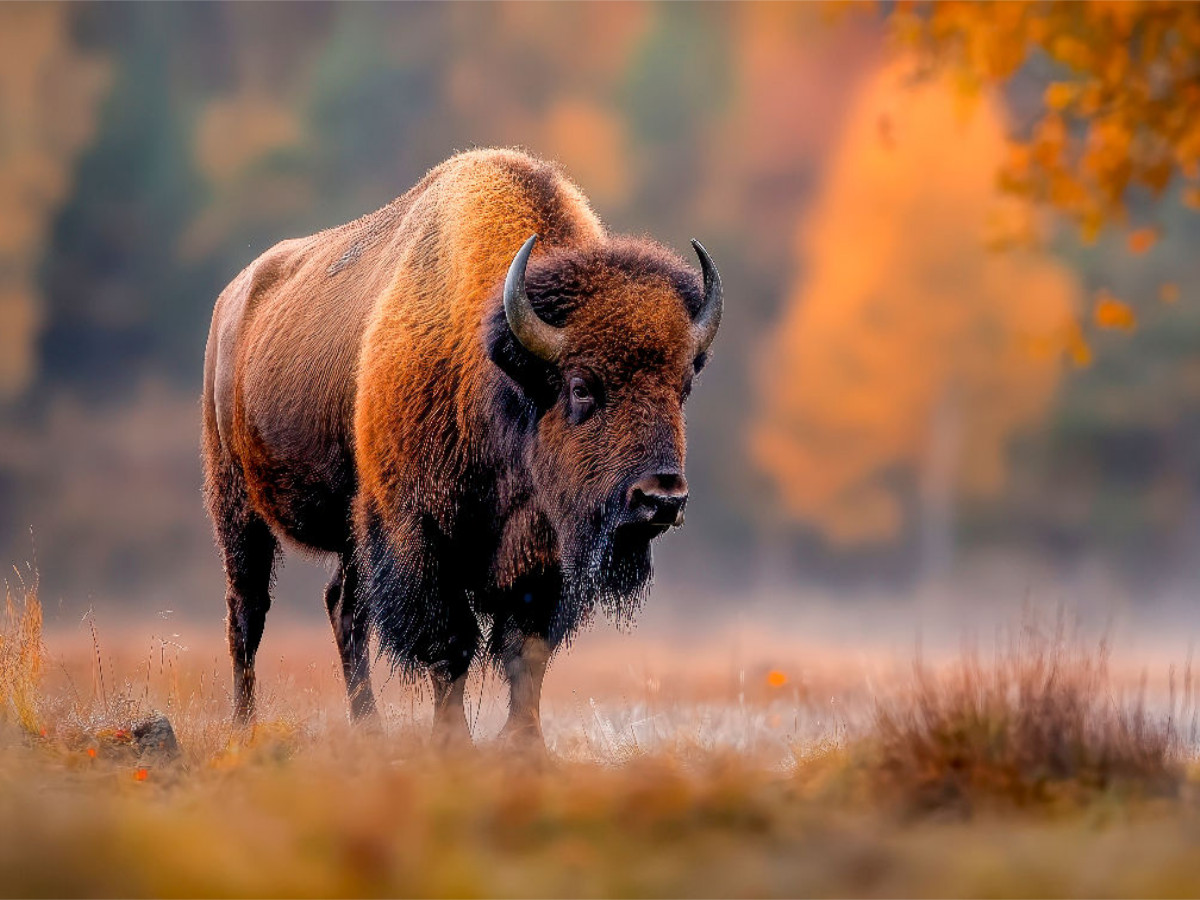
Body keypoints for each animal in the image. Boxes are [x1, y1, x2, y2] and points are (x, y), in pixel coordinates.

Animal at [201, 148, 720, 748]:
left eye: (682, 387)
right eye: (581, 386)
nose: (661, 498)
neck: (499, 371)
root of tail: (231, 299)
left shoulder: (540, 554)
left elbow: (526, 649)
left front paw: (525, 744)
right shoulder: (419, 532)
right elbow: (451, 643)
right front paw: (453, 743)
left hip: (355, 528)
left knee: (342, 607)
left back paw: (369, 729)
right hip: (238, 506)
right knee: (248, 611)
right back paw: (245, 728)